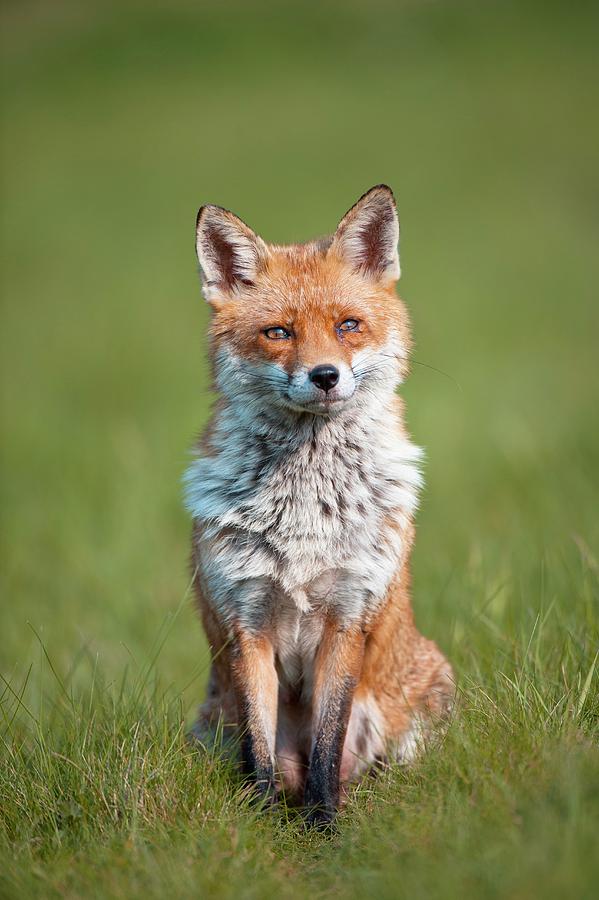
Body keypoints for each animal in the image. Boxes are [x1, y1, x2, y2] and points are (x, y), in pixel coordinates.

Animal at [185, 186, 452, 828]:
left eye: (347, 325)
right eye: (279, 332)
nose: (325, 375)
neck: (307, 509)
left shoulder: (347, 616)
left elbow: (327, 751)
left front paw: (324, 826)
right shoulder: (246, 623)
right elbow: (259, 751)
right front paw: (261, 824)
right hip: (209, 727)